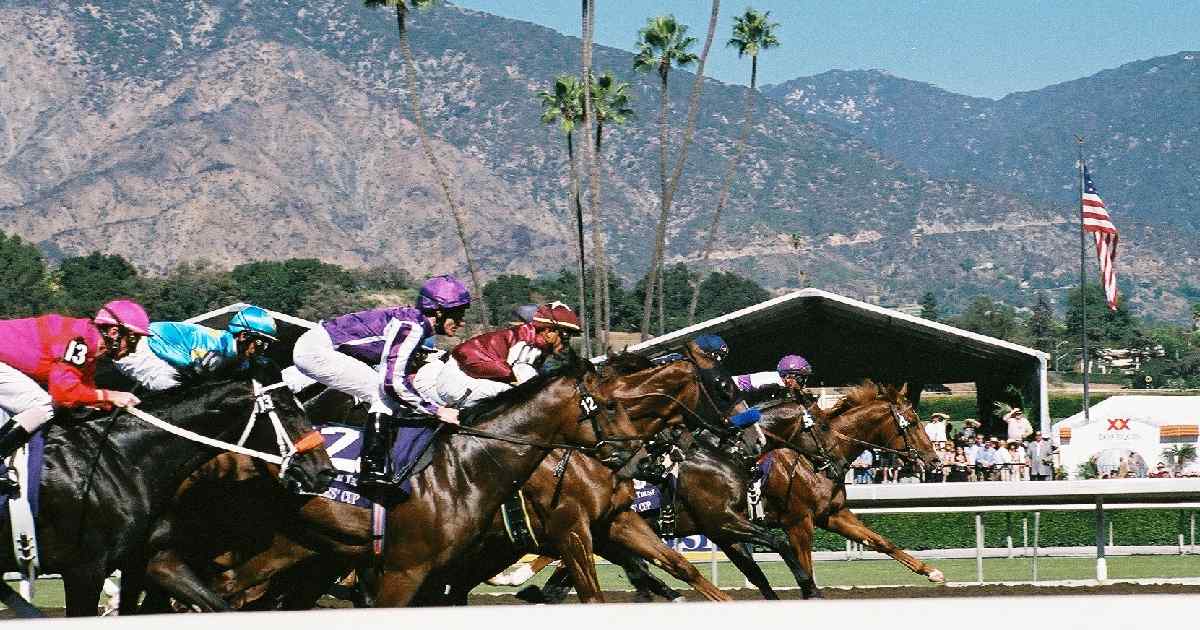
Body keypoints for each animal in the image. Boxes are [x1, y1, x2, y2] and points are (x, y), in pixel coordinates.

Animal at [0, 369, 333, 614]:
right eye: (288, 410)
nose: (325, 472)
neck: (117, 457)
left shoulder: (154, 558)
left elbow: (217, 605)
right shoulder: (84, 569)